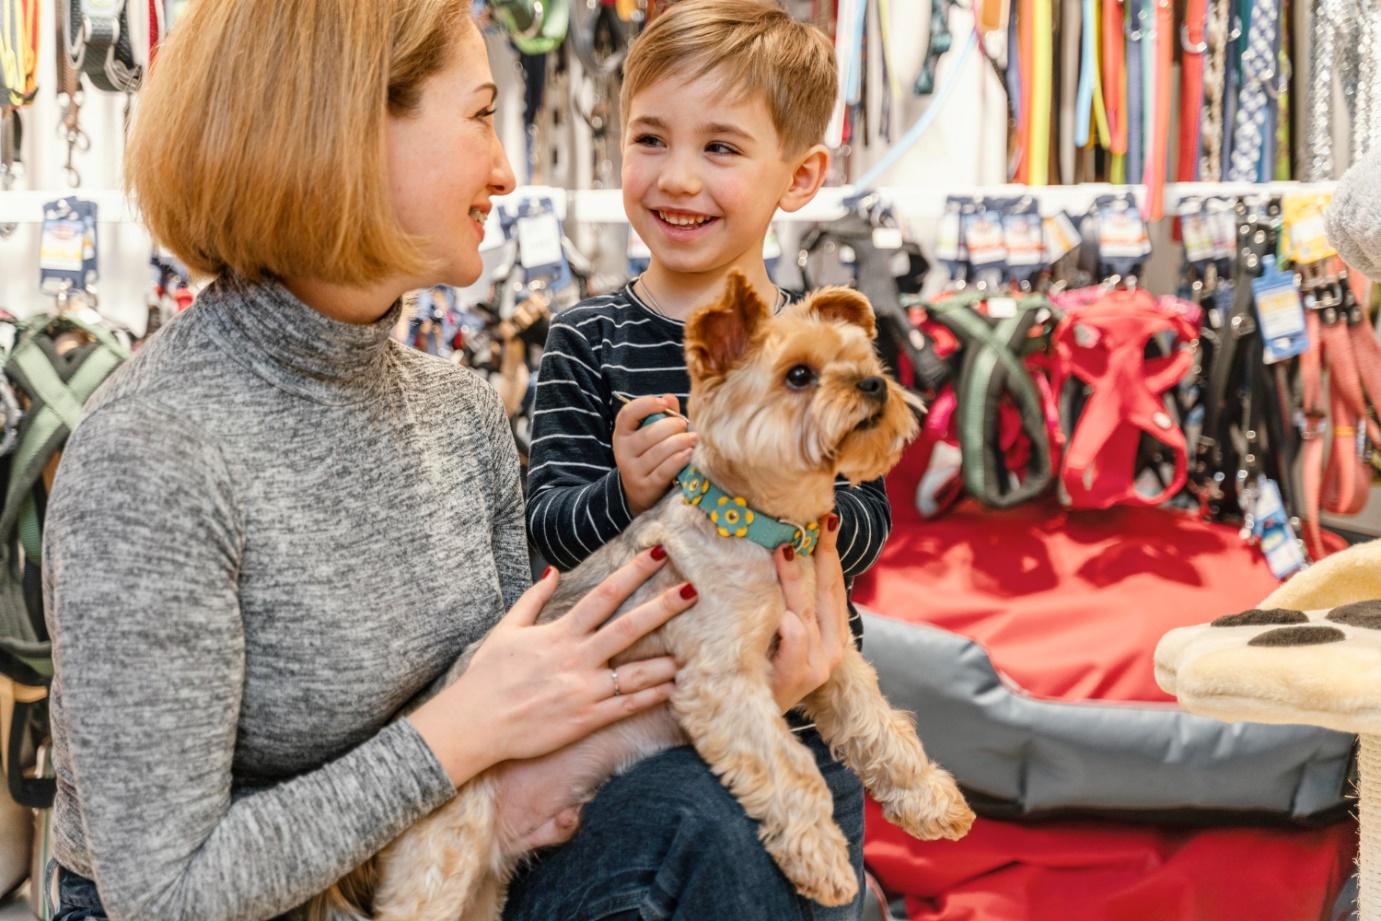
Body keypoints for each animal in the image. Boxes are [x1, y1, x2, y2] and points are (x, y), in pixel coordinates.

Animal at [317, 272, 977, 921]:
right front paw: (823, 859)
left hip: (482, 890)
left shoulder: (833, 660)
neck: (760, 527)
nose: (875, 384)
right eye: (798, 375)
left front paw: (932, 800)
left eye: (868, 359)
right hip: (442, 861)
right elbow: (791, 767)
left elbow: (882, 728)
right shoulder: (721, 683)